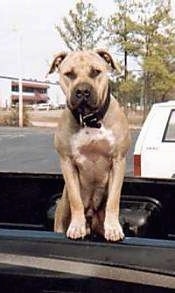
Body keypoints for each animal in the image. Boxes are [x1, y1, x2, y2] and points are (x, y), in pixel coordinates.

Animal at [48, 49, 131, 240]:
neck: (90, 121)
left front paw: (113, 228)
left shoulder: (118, 160)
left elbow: (113, 200)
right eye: (69, 74)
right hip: (62, 212)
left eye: (95, 72)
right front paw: (76, 226)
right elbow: (76, 199)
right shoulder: (67, 162)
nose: (83, 91)